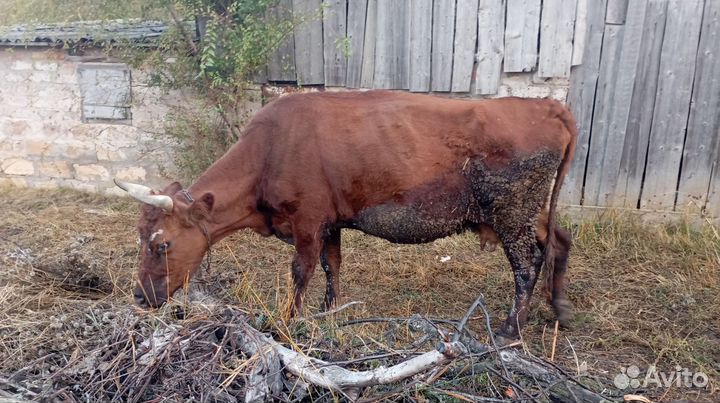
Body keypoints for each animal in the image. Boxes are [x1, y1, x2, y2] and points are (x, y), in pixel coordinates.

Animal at [116, 90, 577, 342]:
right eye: (138, 237)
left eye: (162, 244)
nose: (139, 296)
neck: (269, 152)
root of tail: (546, 105)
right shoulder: (330, 221)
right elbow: (332, 265)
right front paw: (329, 310)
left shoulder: (306, 220)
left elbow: (301, 270)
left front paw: (289, 321)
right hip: (529, 210)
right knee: (559, 240)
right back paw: (558, 308)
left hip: (511, 211)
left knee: (527, 265)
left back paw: (511, 328)